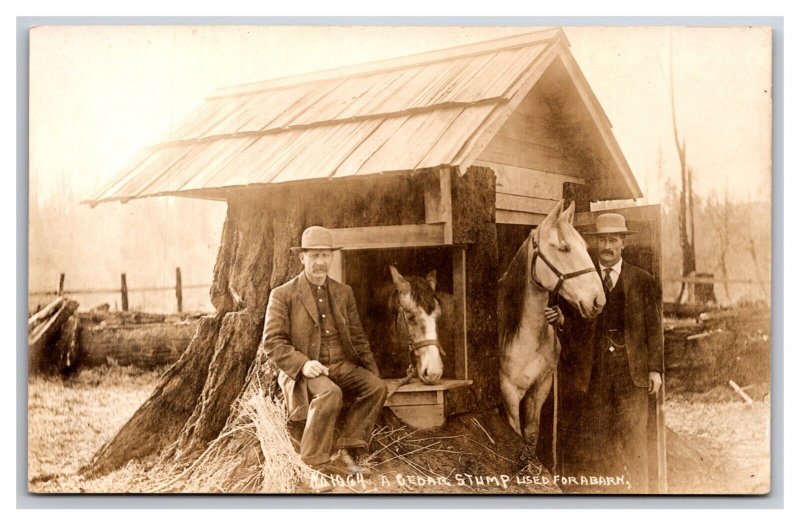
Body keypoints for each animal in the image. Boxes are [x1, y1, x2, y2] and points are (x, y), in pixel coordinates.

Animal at [496, 199, 604, 444]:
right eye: (564, 248)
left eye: (585, 246)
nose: (598, 300)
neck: (527, 335)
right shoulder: (509, 392)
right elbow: (516, 435)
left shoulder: (541, 387)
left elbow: (531, 435)